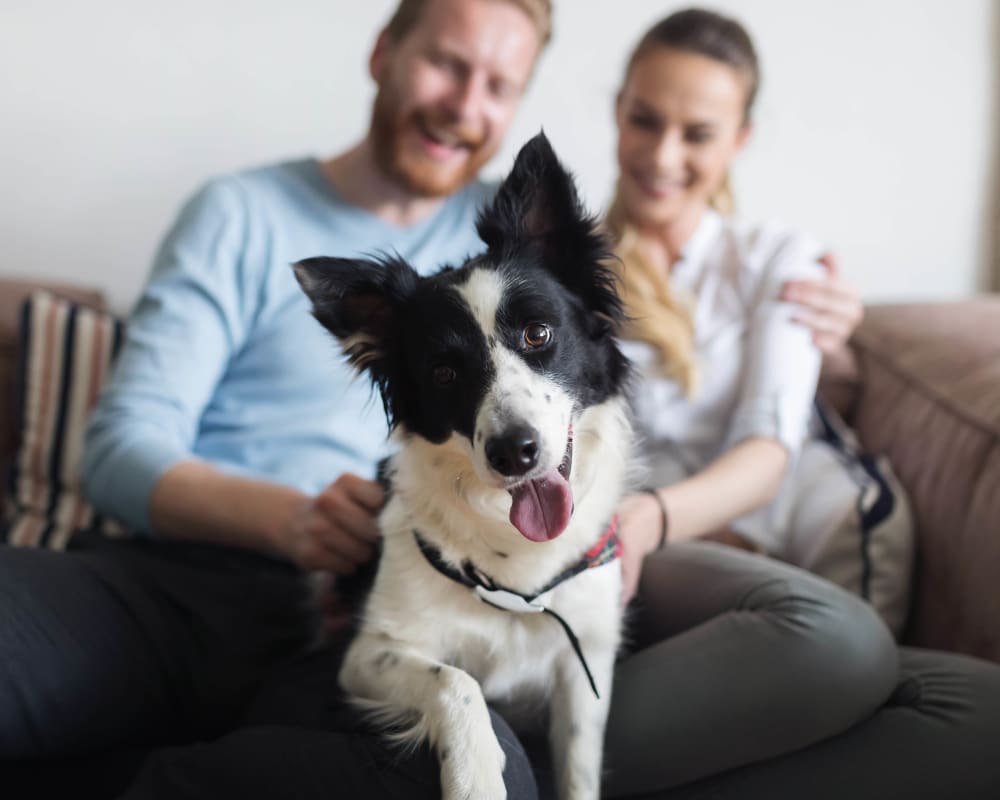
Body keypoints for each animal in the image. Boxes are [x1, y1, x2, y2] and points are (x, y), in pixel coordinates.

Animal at [292, 134, 628, 800]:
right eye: (444, 373)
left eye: (538, 333)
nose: (514, 452)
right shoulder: (370, 653)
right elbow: (457, 682)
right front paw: (475, 775)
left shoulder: (585, 667)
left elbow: (579, 769)